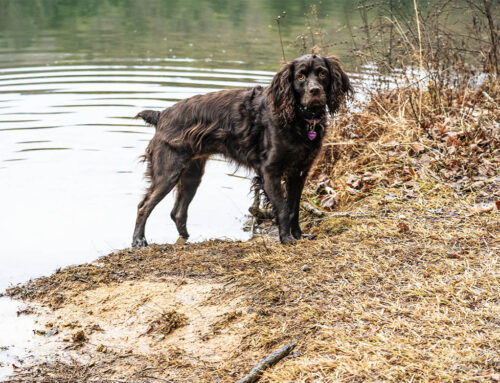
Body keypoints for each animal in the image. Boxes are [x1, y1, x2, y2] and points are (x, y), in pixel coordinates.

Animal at [133, 54, 352, 248]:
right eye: (300, 76)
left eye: (322, 73)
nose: (315, 90)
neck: (298, 118)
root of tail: (162, 115)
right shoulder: (269, 172)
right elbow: (282, 208)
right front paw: (286, 239)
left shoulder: (298, 172)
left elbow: (294, 208)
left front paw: (298, 235)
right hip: (168, 172)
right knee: (144, 206)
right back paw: (139, 241)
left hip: (192, 174)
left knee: (177, 212)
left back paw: (186, 237)